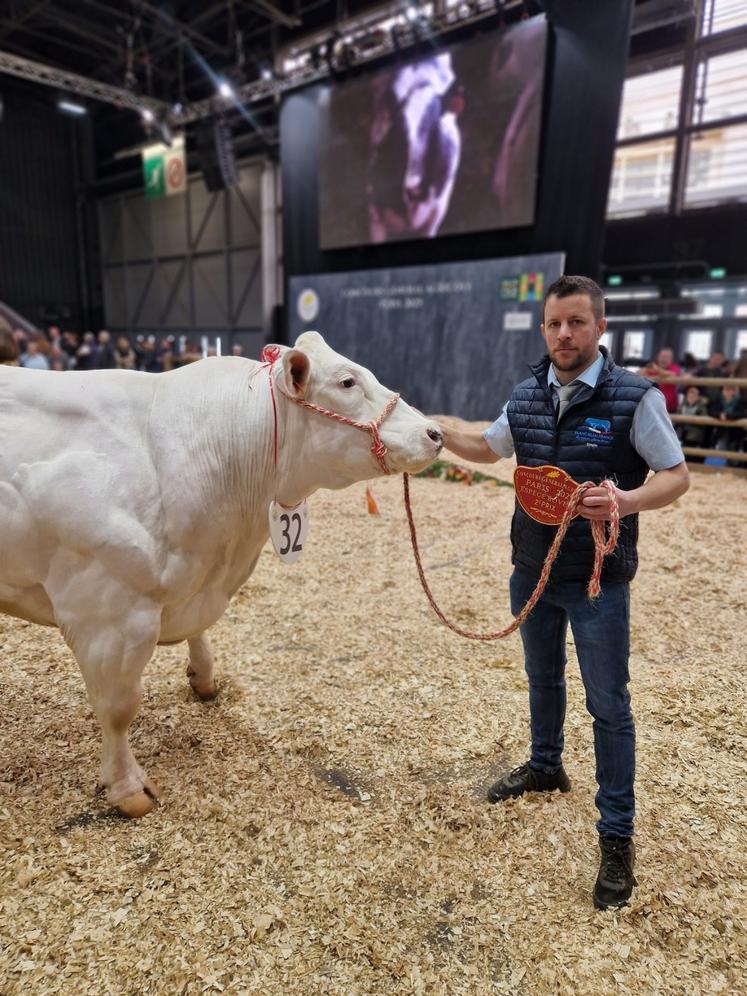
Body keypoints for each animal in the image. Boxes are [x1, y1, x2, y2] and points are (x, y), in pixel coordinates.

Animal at [0, 334, 444, 816]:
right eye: (347, 382)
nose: (436, 433)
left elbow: (200, 636)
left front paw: (204, 677)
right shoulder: (106, 610)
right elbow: (118, 706)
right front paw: (128, 789)